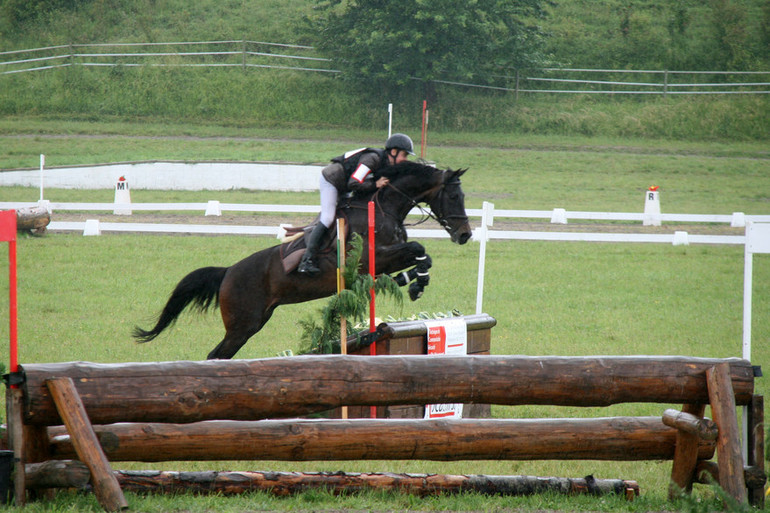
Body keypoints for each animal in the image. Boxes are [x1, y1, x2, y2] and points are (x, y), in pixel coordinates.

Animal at [133, 161, 472, 360]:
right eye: (454, 197)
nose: (466, 235)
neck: (384, 206)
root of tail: (228, 272)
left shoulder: (385, 260)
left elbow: (421, 256)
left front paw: (414, 282)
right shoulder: (371, 258)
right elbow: (417, 247)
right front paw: (415, 283)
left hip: (254, 322)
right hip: (242, 325)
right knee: (216, 356)